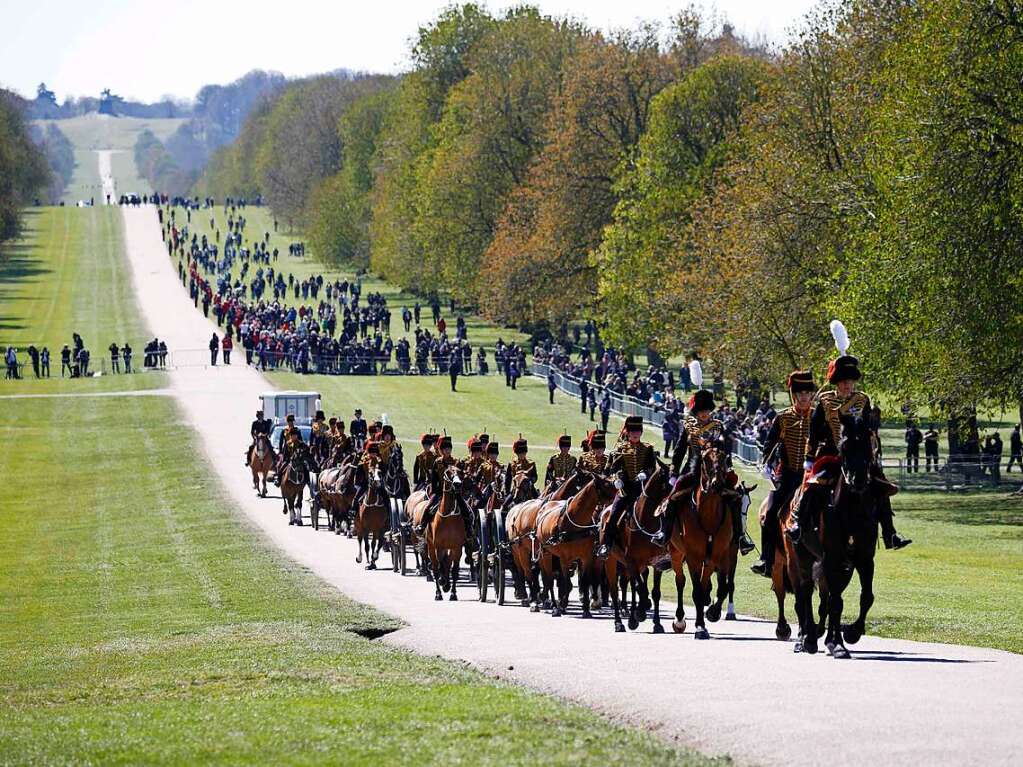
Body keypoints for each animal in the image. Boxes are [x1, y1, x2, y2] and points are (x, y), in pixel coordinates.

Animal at [536, 474, 613, 617]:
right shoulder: (565, 558)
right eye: (607, 484)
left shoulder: (586, 557)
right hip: (545, 553)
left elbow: (584, 581)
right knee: (548, 579)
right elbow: (565, 582)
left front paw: (586, 609)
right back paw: (553, 604)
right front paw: (562, 605)